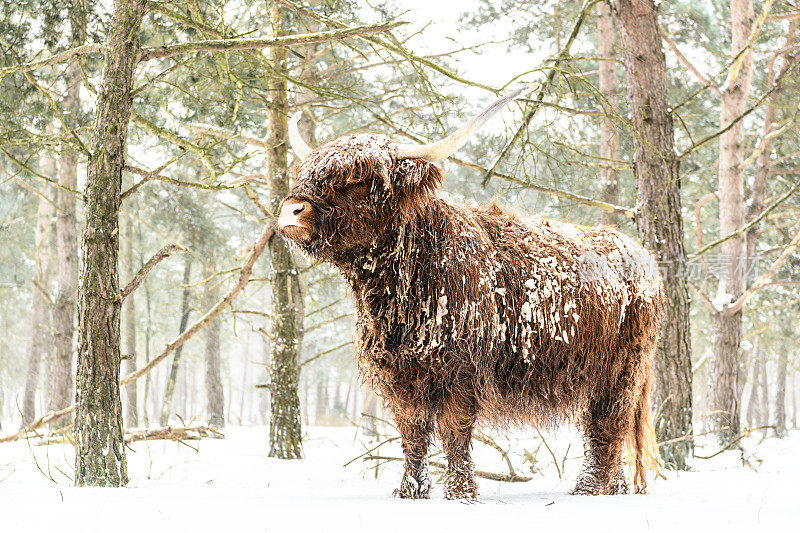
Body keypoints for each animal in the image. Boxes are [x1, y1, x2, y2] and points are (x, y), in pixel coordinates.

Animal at [276, 87, 664, 498]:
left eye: (357, 177)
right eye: (306, 172)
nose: (292, 210)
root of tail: (639, 253)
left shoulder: (460, 371)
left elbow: (454, 431)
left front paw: (460, 493)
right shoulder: (400, 376)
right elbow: (413, 434)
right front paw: (410, 491)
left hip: (623, 370)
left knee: (608, 426)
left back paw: (590, 489)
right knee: (607, 427)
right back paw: (613, 487)